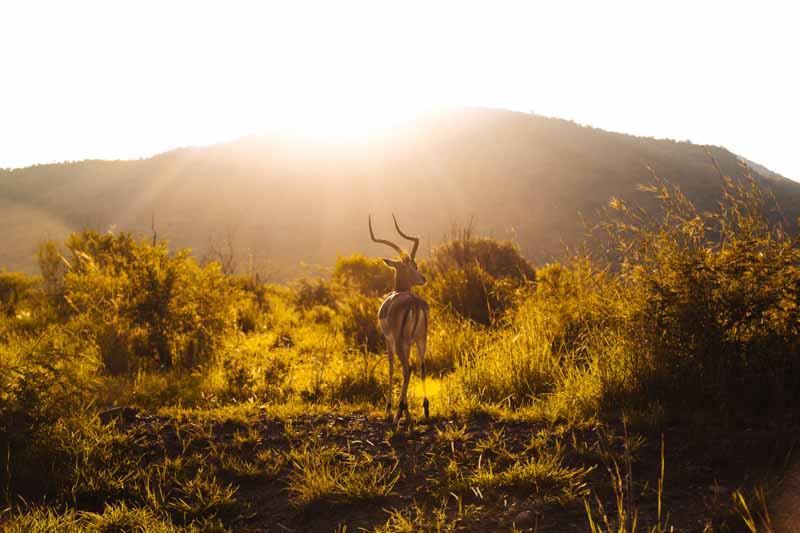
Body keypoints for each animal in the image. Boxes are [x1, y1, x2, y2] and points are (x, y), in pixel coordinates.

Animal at [370, 214, 432, 422]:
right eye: (413, 265)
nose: (423, 279)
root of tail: (414, 302)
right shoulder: (410, 342)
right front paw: (407, 411)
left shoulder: (388, 340)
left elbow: (390, 368)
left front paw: (390, 409)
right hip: (421, 340)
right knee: (421, 367)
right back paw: (425, 410)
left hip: (399, 342)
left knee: (407, 368)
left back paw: (397, 413)